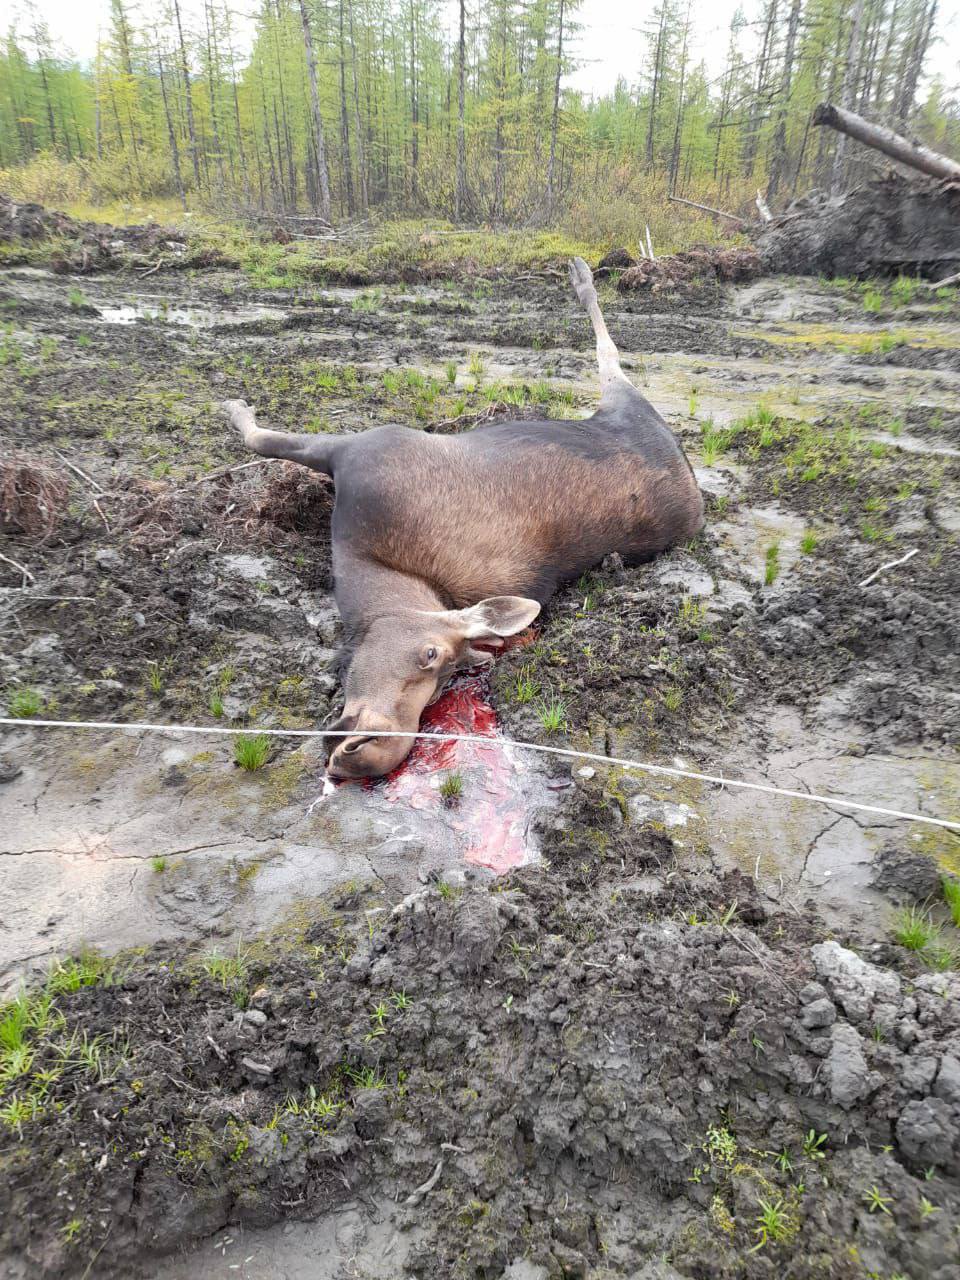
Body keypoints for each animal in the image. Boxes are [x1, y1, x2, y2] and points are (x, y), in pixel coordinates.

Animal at [225, 258, 706, 773]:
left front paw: (236, 406)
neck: (365, 563)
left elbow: (261, 438)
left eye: (446, 674)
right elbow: (264, 440)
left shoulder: (358, 448)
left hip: (624, 401)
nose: (376, 750)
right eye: (433, 656)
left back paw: (581, 276)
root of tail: (680, 456)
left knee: (611, 357)